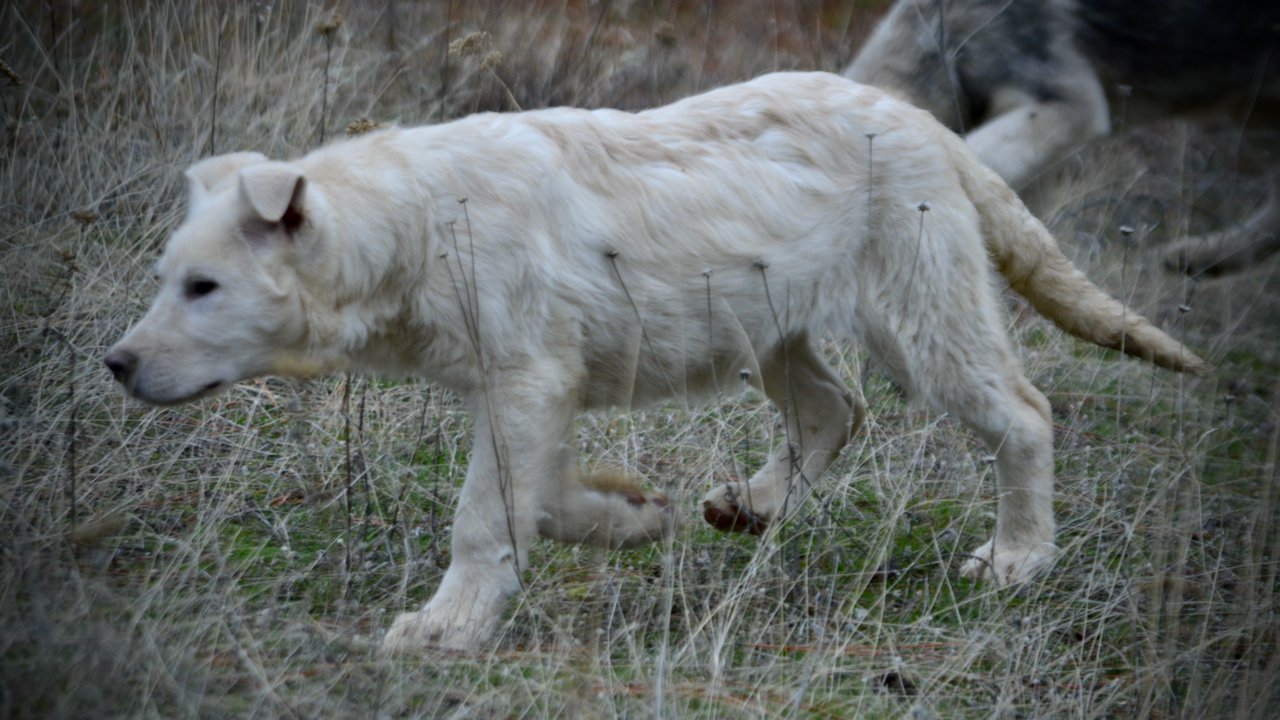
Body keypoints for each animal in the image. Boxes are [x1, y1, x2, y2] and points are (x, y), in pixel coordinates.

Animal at [104, 73, 1203, 650]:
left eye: (203, 288)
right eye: (167, 279)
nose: (114, 366)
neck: (416, 224)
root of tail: (919, 115)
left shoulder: (524, 382)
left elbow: (483, 516)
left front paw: (446, 628)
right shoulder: (532, 394)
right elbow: (537, 501)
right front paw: (632, 517)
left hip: (922, 320)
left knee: (1021, 413)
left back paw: (1016, 559)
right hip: (769, 330)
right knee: (833, 412)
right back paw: (751, 508)